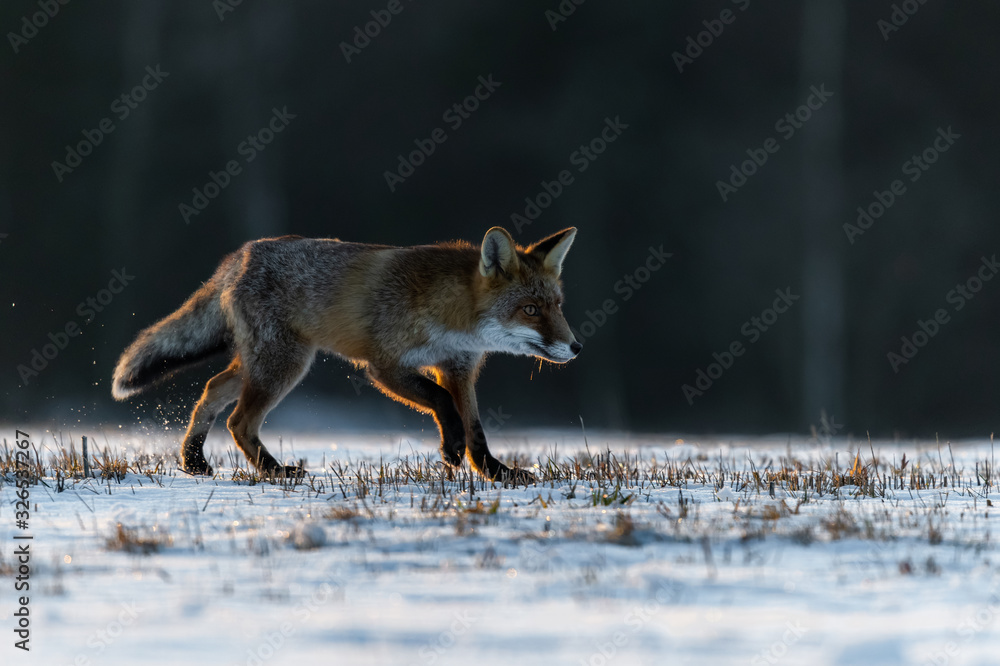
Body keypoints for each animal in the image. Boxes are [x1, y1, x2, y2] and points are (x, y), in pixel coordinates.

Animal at [111, 226, 582, 484]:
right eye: (531, 310)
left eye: (558, 305)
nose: (576, 347)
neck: (452, 315)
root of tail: (241, 254)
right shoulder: (385, 365)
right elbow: (442, 403)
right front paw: (451, 446)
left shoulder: (459, 369)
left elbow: (477, 433)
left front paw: (498, 473)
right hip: (284, 366)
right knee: (238, 421)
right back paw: (275, 471)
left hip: (262, 364)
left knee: (211, 389)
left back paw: (193, 461)